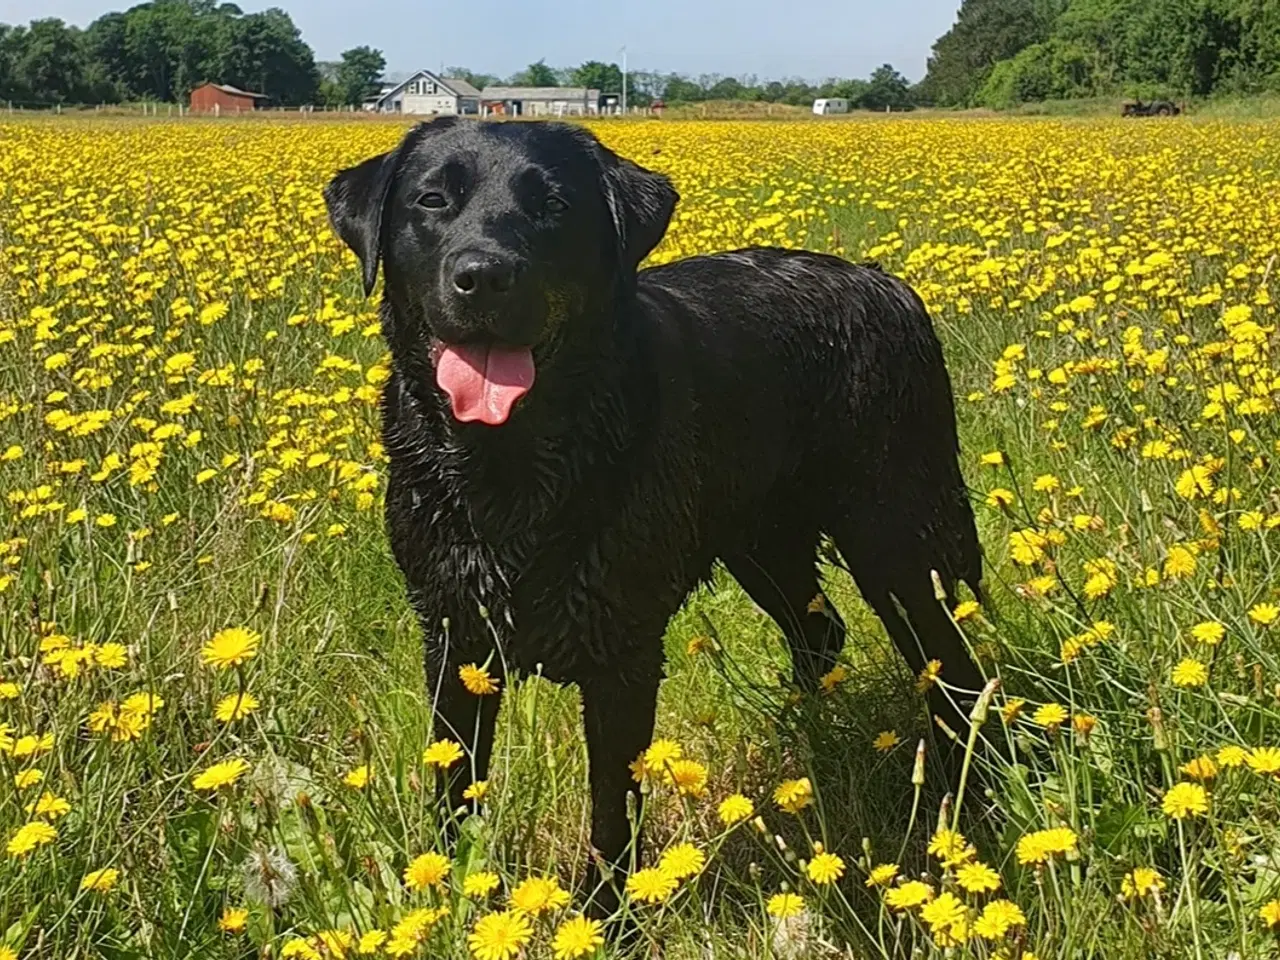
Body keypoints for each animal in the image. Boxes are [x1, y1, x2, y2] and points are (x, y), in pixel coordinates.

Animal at [325, 118, 983, 911]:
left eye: (553, 206)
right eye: (432, 200)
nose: (483, 275)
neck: (511, 467)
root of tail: (885, 281)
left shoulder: (622, 652)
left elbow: (613, 809)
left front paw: (606, 915)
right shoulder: (453, 634)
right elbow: (455, 784)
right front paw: (453, 892)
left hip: (897, 539)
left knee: (955, 667)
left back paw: (968, 795)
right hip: (761, 540)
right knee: (821, 630)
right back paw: (802, 739)